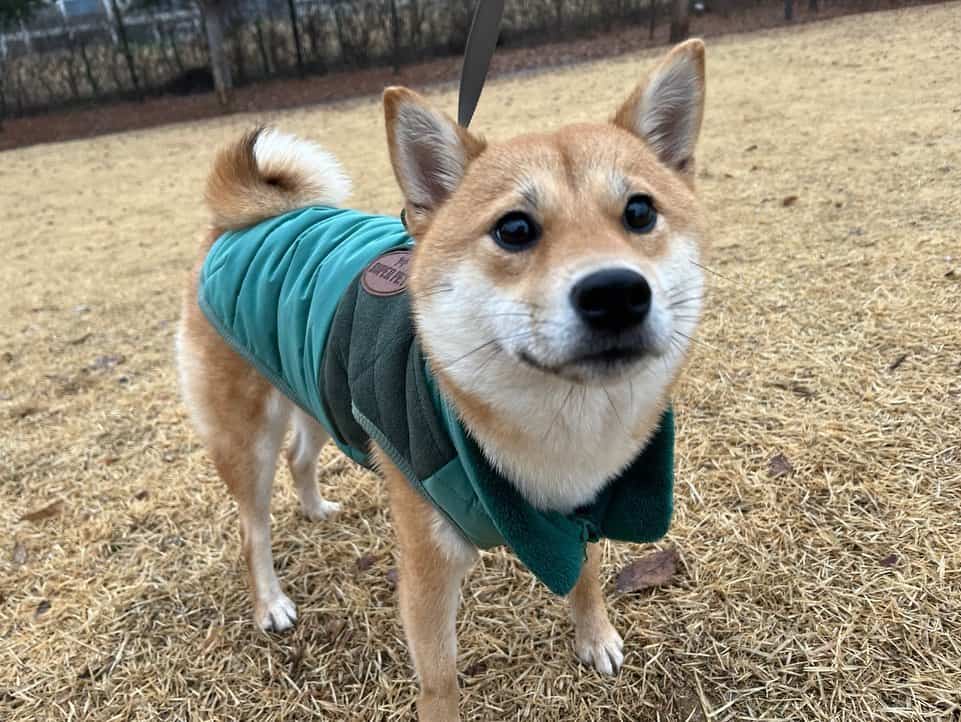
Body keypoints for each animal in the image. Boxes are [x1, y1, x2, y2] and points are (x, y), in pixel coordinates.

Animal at [176, 39, 708, 720]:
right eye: (514, 229)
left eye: (639, 212)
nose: (616, 293)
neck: (561, 429)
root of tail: (237, 222)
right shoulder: (428, 567)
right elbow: (441, 679)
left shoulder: (584, 506)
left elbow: (585, 574)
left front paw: (595, 638)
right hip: (248, 439)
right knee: (254, 530)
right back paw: (270, 602)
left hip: (317, 388)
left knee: (301, 458)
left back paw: (318, 508)